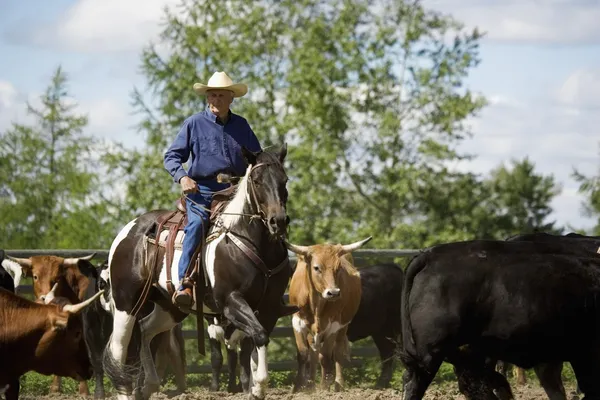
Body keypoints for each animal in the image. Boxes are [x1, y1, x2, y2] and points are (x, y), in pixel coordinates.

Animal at [103, 145, 296, 400]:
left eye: (284, 180)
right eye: (256, 181)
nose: (278, 221)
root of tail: (128, 231)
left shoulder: (269, 307)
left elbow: (255, 342)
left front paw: (254, 387)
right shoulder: (231, 301)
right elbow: (259, 336)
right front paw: (259, 385)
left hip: (170, 307)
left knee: (145, 330)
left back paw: (150, 385)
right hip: (126, 303)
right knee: (119, 349)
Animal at [284, 236, 370, 392]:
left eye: (338, 268)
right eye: (316, 267)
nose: (334, 293)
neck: (316, 304)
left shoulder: (334, 325)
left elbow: (326, 356)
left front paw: (325, 386)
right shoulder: (297, 322)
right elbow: (303, 353)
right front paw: (298, 386)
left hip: (343, 326)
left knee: (337, 352)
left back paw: (337, 384)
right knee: (314, 353)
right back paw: (310, 384)